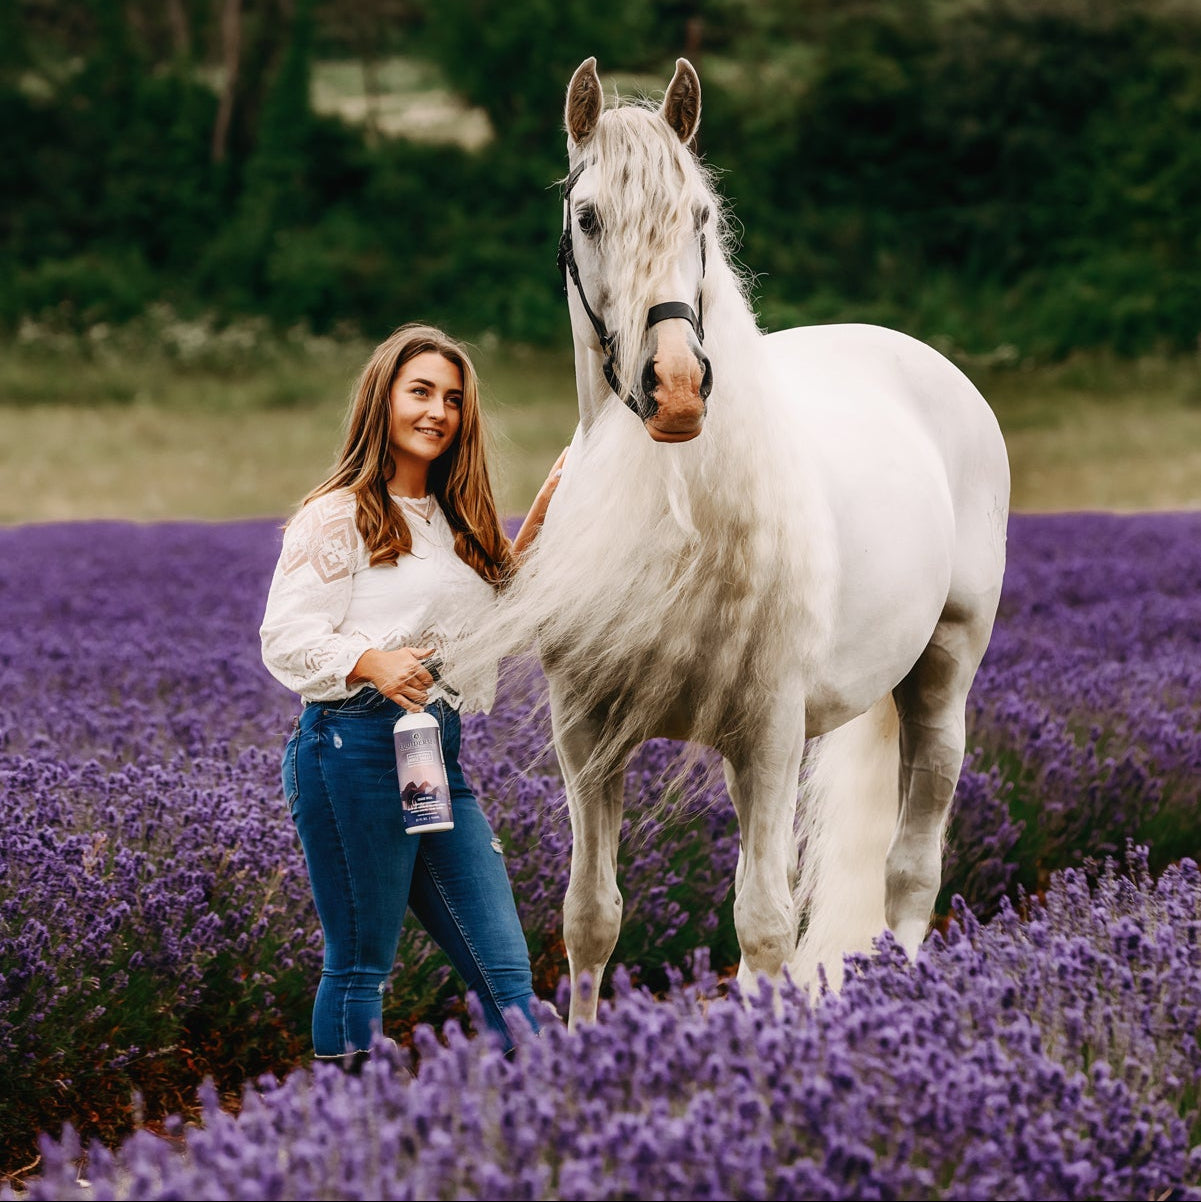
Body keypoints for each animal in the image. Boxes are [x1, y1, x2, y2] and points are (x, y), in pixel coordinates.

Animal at [453, 57, 1009, 1028]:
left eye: (700, 217)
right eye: (588, 215)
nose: (675, 387)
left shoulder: (770, 734)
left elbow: (765, 926)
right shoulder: (585, 735)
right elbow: (591, 916)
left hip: (941, 676)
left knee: (908, 873)